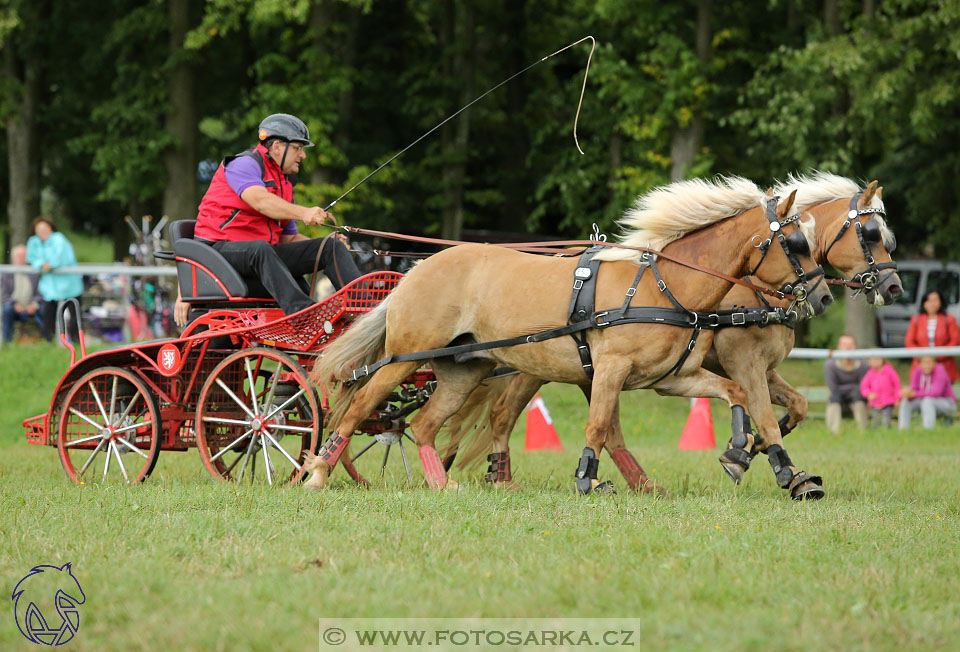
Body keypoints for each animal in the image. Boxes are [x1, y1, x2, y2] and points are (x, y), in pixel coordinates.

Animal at [308, 176, 832, 492]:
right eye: (796, 242)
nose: (824, 296)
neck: (664, 285)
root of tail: (415, 270)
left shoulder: (671, 378)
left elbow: (735, 393)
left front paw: (739, 452)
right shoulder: (611, 369)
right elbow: (599, 426)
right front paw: (586, 478)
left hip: (463, 369)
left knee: (425, 425)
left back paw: (442, 485)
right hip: (405, 357)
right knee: (358, 406)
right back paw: (317, 472)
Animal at [442, 171, 900, 496]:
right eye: (871, 234)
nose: (893, 287)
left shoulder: (759, 370)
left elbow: (798, 406)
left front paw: (748, 450)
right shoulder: (745, 364)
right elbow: (767, 418)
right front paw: (786, 472)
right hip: (534, 365)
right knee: (503, 413)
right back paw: (498, 476)